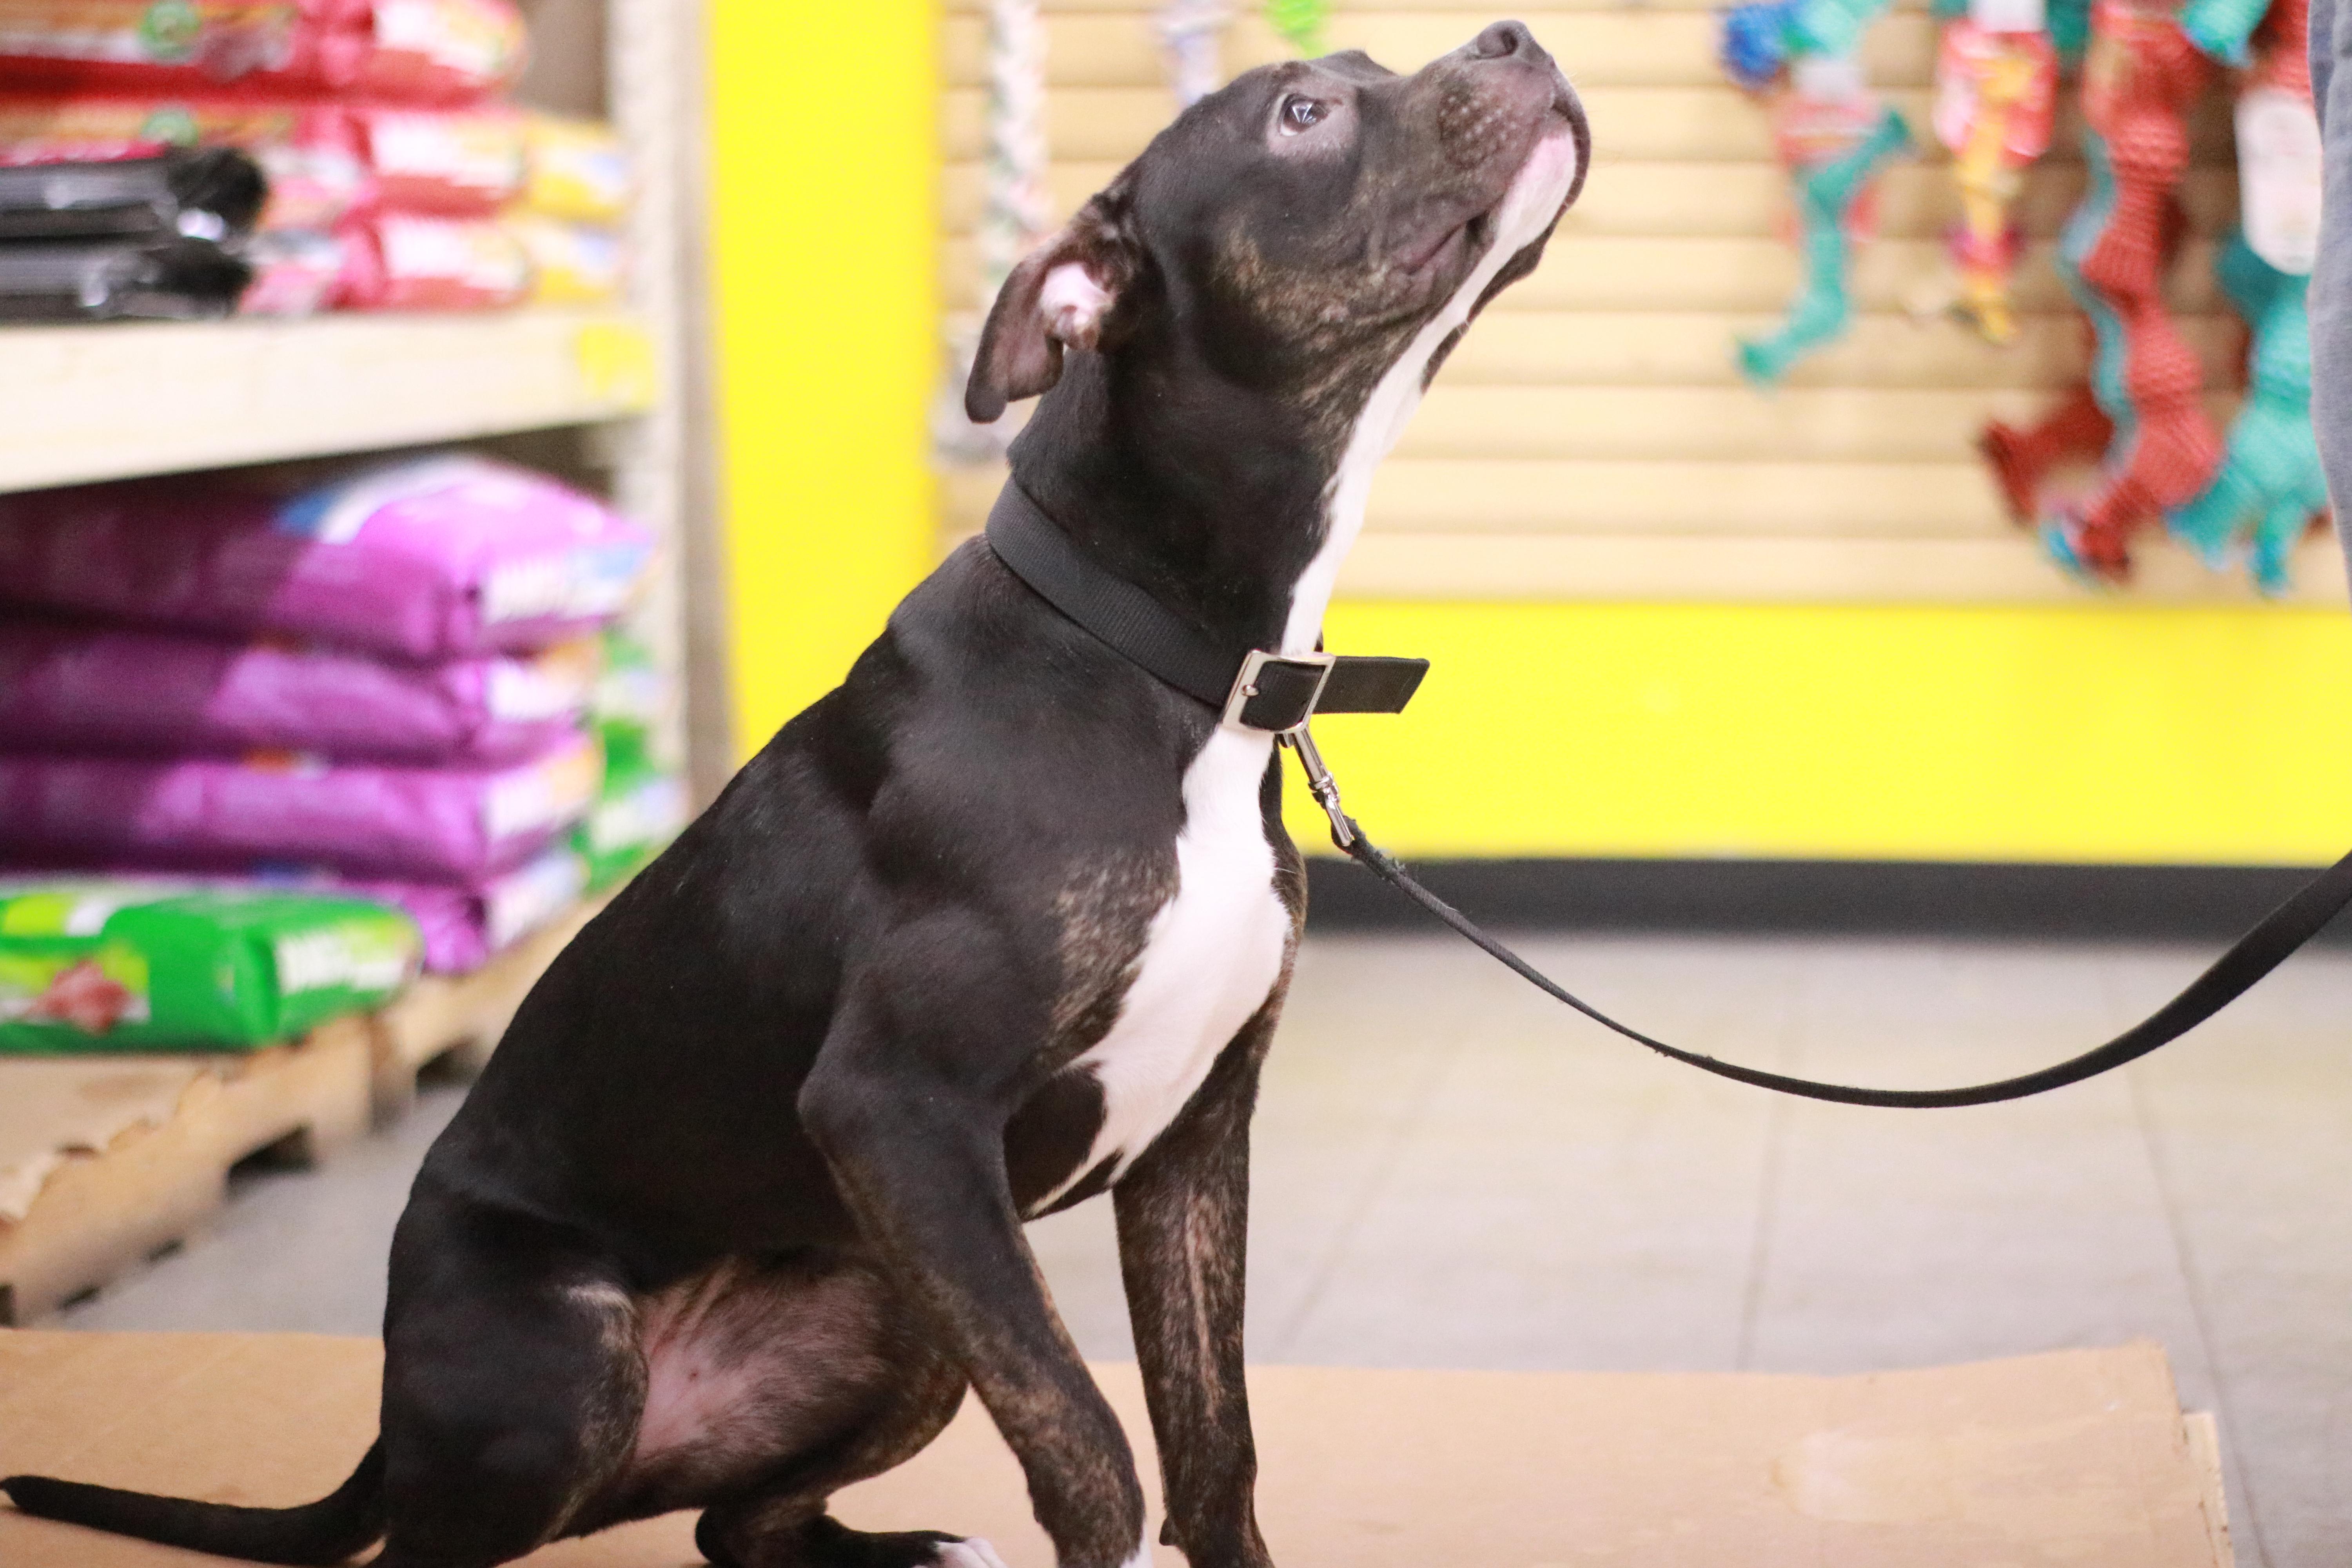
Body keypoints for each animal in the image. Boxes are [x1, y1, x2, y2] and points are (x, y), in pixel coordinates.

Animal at [3, 23, 1586, 1568]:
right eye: (1303, 112)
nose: (1519, 38)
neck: (1157, 658)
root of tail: (392, 1423)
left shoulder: (1192, 1147)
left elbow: (1214, 1456)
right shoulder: (899, 1113)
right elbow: (1092, 1449)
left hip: (894, 1310)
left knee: (737, 1523)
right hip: (576, 1363)